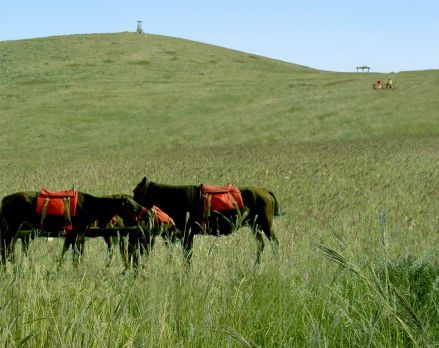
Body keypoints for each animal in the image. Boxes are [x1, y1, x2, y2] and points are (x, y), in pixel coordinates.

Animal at [0, 190, 149, 266]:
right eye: (129, 203)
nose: (145, 211)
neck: (92, 205)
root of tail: (4, 200)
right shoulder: (78, 232)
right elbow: (75, 254)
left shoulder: (74, 233)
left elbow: (70, 252)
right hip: (12, 230)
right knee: (7, 250)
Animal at [132, 177, 280, 264]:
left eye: (136, 193)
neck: (175, 198)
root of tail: (266, 191)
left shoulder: (187, 235)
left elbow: (187, 257)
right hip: (254, 226)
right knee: (261, 244)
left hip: (266, 225)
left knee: (275, 243)